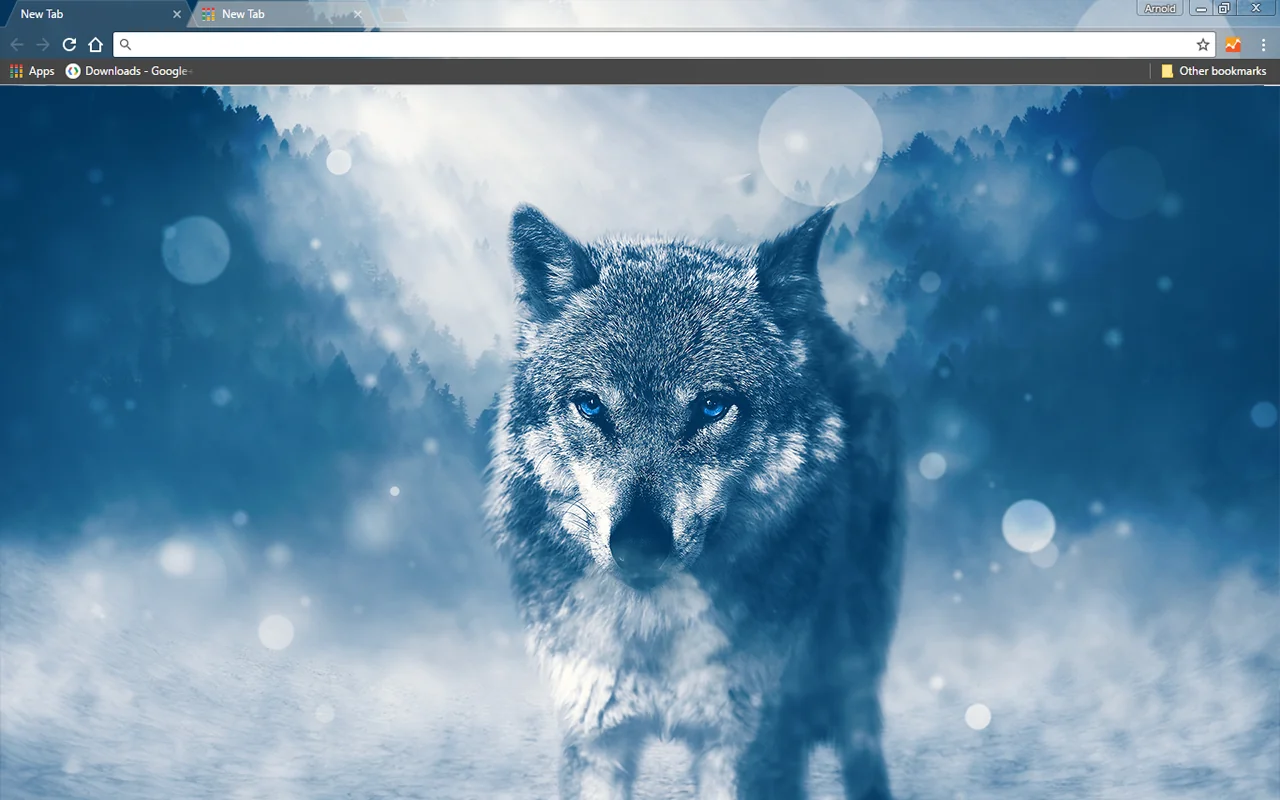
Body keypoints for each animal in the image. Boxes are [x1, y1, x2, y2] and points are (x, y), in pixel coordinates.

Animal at [484, 202, 905, 800]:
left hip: (851, 659)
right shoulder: (594, 735)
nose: (638, 544)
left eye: (711, 407)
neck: (655, 634)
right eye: (590, 406)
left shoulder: (746, 744)